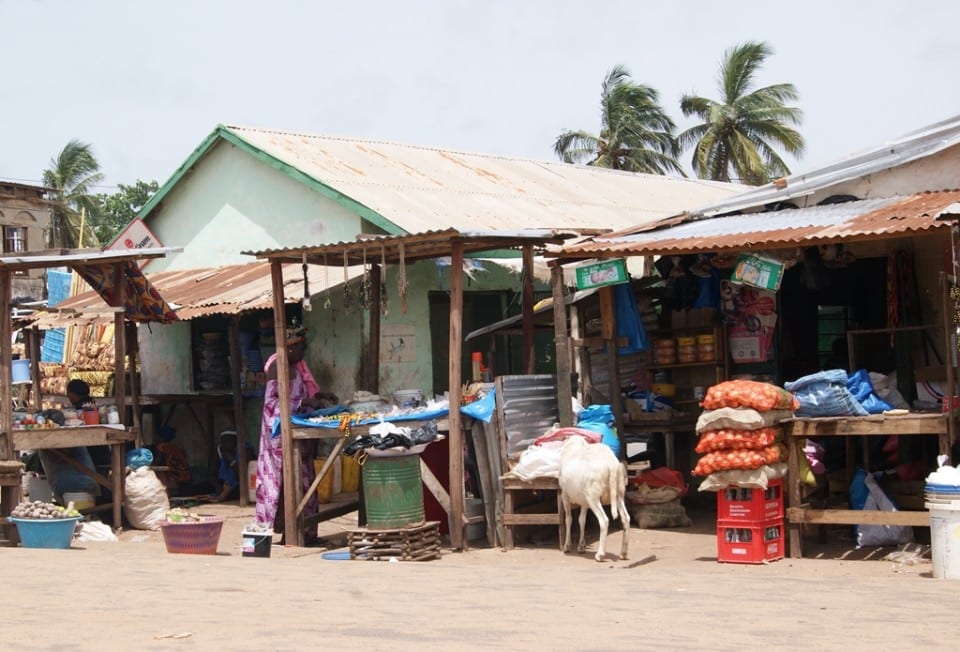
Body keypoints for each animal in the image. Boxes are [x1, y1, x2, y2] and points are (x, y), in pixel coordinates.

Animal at [556, 432, 632, 560]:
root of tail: (611, 464)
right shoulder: (584, 500)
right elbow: (582, 520)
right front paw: (581, 546)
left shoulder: (565, 495)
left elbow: (568, 519)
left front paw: (567, 546)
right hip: (618, 493)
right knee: (626, 518)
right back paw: (623, 553)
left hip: (593, 497)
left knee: (604, 520)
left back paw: (600, 554)